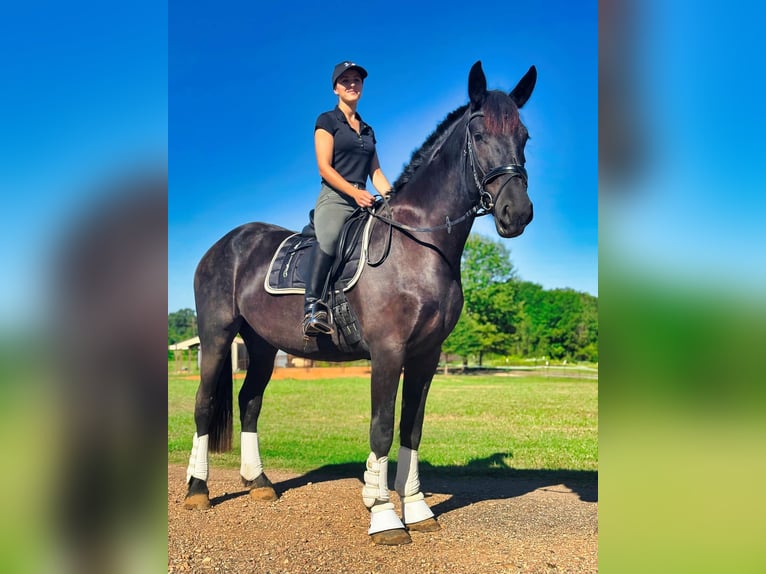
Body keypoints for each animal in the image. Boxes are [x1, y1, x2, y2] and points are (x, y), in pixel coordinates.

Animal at [183, 61, 536, 546]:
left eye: (524, 136)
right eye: (480, 135)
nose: (516, 213)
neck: (417, 244)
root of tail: (225, 243)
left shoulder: (426, 355)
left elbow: (412, 428)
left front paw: (417, 509)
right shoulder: (388, 351)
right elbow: (382, 428)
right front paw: (384, 515)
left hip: (261, 344)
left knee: (249, 401)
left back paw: (259, 483)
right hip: (217, 335)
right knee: (203, 404)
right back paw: (197, 490)